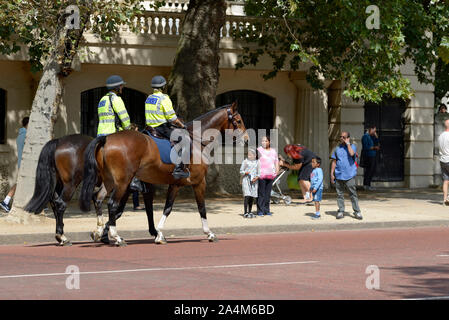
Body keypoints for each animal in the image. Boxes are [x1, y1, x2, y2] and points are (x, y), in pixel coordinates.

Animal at [24, 134, 158, 246]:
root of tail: (59, 141)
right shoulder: (133, 190)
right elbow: (146, 211)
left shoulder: (125, 190)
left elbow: (117, 211)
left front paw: (102, 234)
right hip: (71, 183)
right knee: (60, 204)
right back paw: (63, 237)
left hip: (59, 184)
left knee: (54, 202)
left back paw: (60, 236)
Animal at [80, 101, 248, 246]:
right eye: (238, 121)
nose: (246, 140)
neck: (196, 141)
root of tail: (106, 139)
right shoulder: (199, 182)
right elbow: (201, 208)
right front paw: (209, 233)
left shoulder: (175, 184)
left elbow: (167, 207)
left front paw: (159, 234)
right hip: (122, 182)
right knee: (112, 204)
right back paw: (117, 237)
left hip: (110, 181)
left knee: (98, 198)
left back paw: (99, 230)